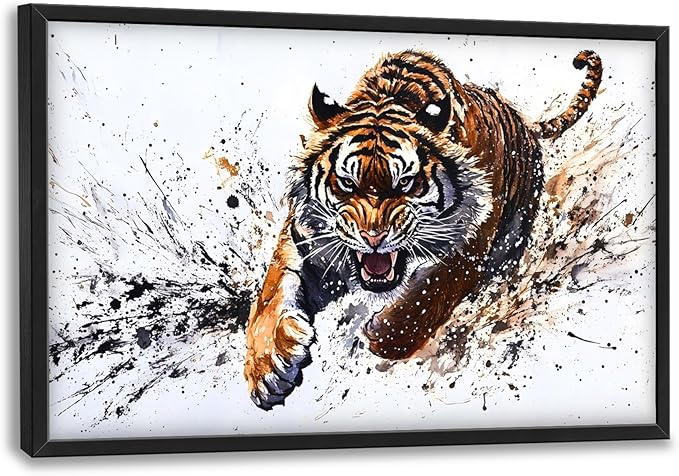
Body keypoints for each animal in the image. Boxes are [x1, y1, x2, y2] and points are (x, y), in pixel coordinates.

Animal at [244, 49, 602, 410]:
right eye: (347, 183)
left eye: (405, 182)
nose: (373, 238)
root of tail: (522, 120)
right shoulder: (303, 238)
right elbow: (270, 295)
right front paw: (267, 368)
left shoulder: (470, 244)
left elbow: (429, 292)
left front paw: (381, 334)